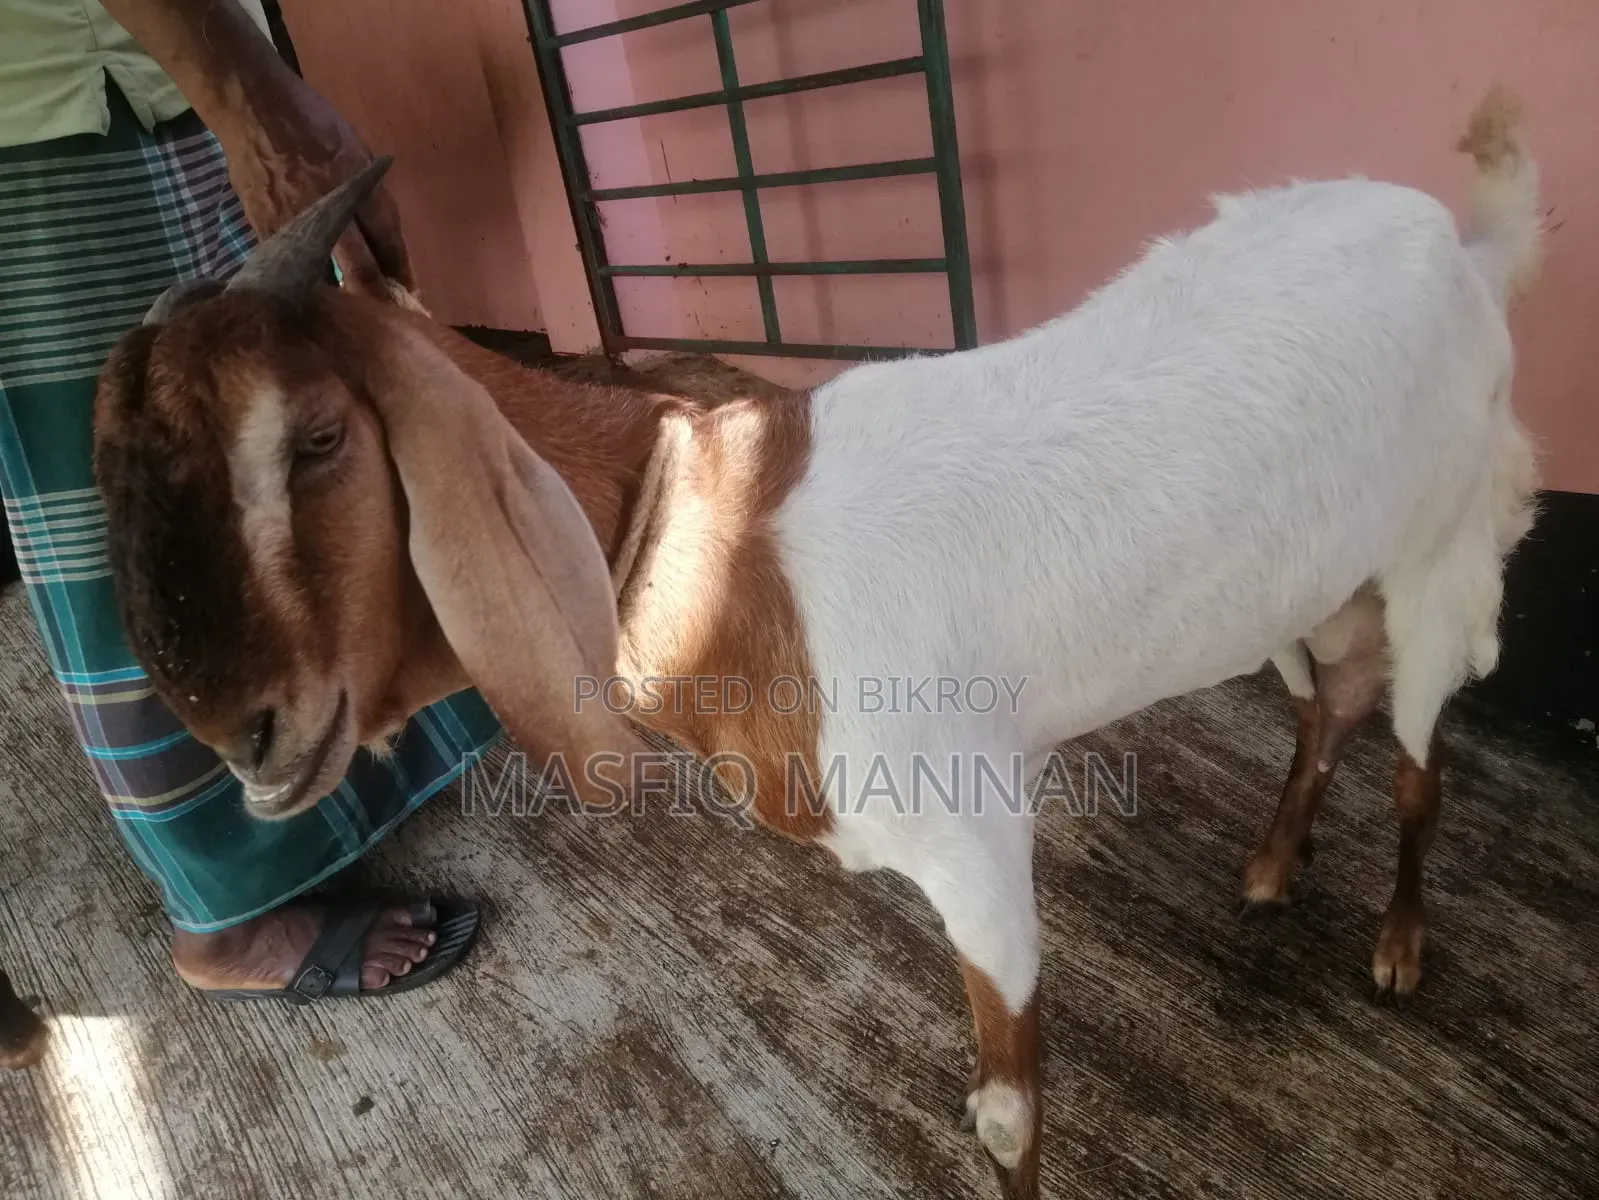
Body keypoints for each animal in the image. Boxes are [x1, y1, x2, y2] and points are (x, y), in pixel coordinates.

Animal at [88, 87, 1542, 1194]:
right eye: (107, 473)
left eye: (320, 437)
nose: (246, 736)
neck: (731, 549)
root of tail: (1467, 248)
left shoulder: (972, 833)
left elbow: (1006, 1116)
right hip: (1308, 580)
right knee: (1323, 701)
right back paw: (1273, 860)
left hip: (1438, 550)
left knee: (1417, 754)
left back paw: (1397, 946)